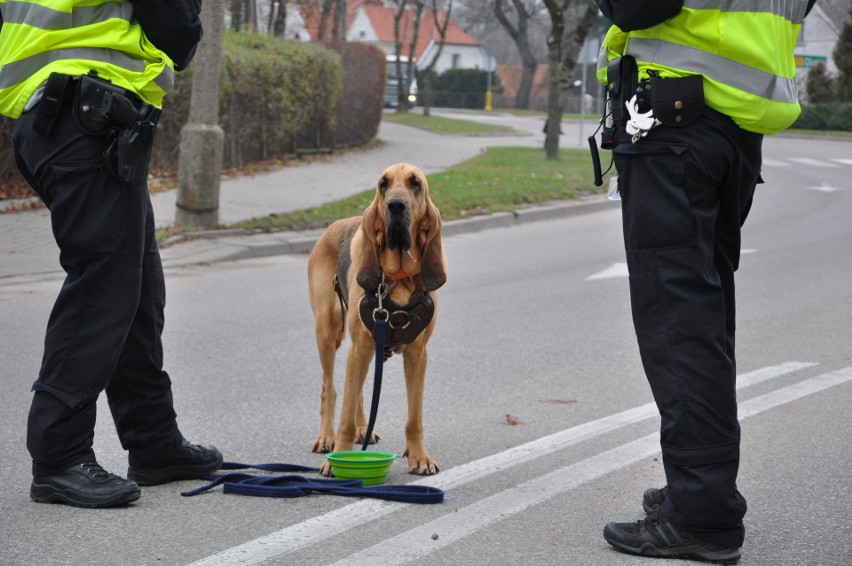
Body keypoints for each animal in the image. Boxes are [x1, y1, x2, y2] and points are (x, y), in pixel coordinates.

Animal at [310, 162, 450, 478]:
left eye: (415, 183)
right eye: (383, 184)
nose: (395, 205)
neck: (397, 277)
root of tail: (334, 225)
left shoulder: (417, 354)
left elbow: (414, 418)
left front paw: (419, 457)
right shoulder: (359, 347)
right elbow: (345, 416)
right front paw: (337, 459)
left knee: (360, 391)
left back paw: (364, 428)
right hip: (328, 331)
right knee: (329, 390)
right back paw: (326, 437)